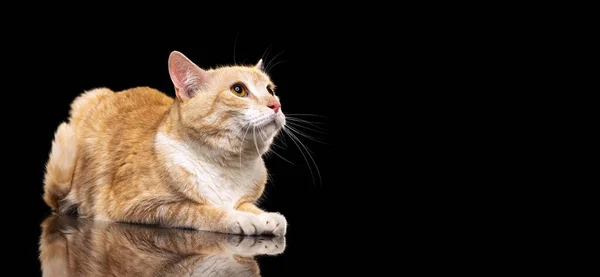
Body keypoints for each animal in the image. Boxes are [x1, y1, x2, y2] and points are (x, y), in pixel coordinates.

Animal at [43, 50, 288, 235]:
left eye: (270, 90)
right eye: (238, 90)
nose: (276, 104)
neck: (227, 166)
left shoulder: (244, 196)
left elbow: (247, 205)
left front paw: (265, 217)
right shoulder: (136, 206)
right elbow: (198, 210)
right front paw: (239, 218)